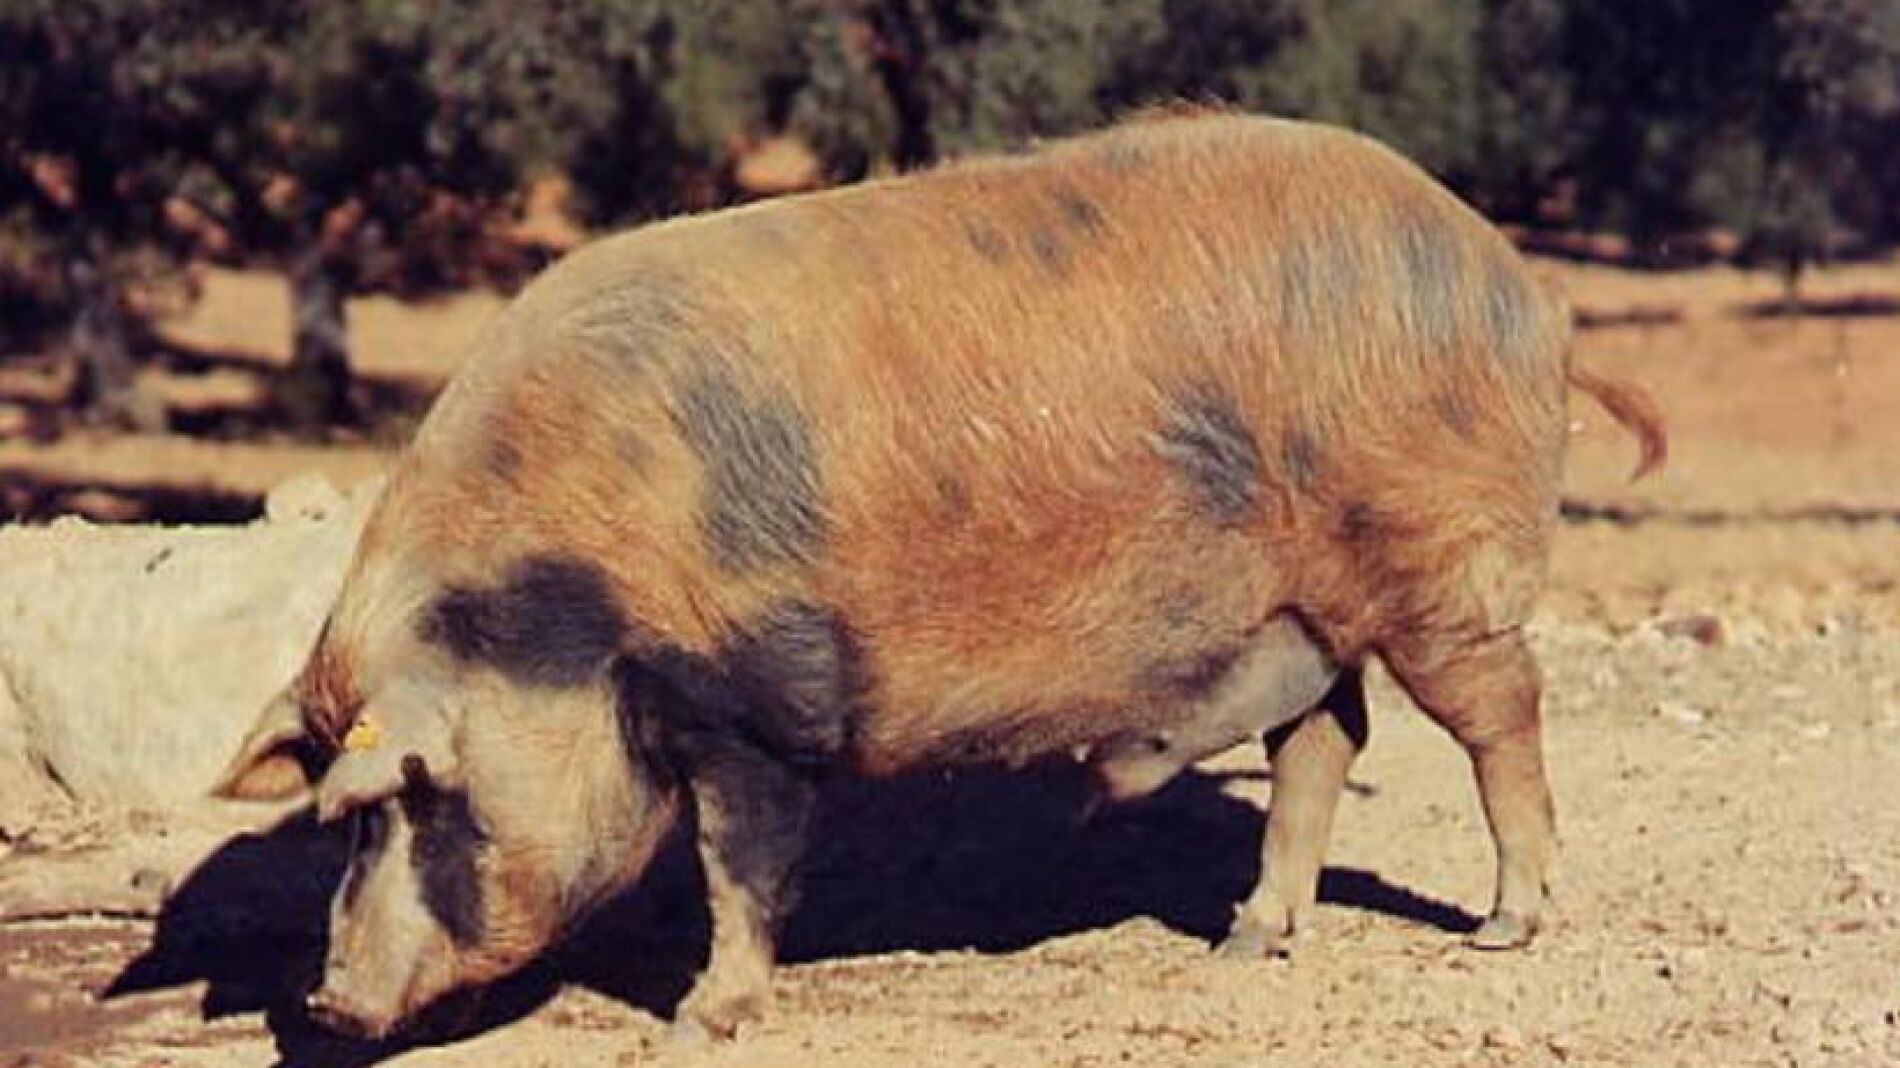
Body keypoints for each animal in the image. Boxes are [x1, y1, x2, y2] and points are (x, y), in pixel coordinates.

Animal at [212, 108, 1667, 1042]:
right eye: (345, 817)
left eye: (417, 799)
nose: (326, 1000)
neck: (585, 601)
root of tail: (1523, 292)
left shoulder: (761, 708)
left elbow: (742, 864)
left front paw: (701, 1021)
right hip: (1302, 610)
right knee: (1325, 741)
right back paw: (1248, 936)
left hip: (1441, 570)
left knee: (1500, 719)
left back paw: (1504, 926)